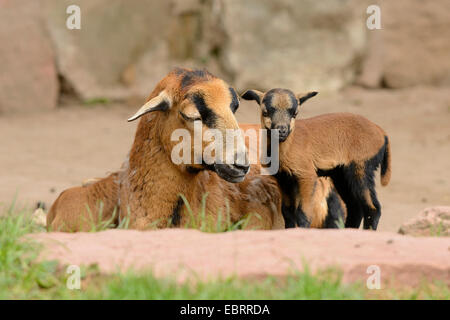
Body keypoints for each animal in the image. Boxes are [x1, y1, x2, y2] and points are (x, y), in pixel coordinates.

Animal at [243, 87, 390, 230]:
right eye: (265, 112)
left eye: (295, 113)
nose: (281, 130)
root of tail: (382, 133)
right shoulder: (284, 179)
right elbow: (287, 212)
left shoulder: (307, 175)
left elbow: (303, 213)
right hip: (341, 175)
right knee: (355, 207)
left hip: (361, 167)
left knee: (373, 208)